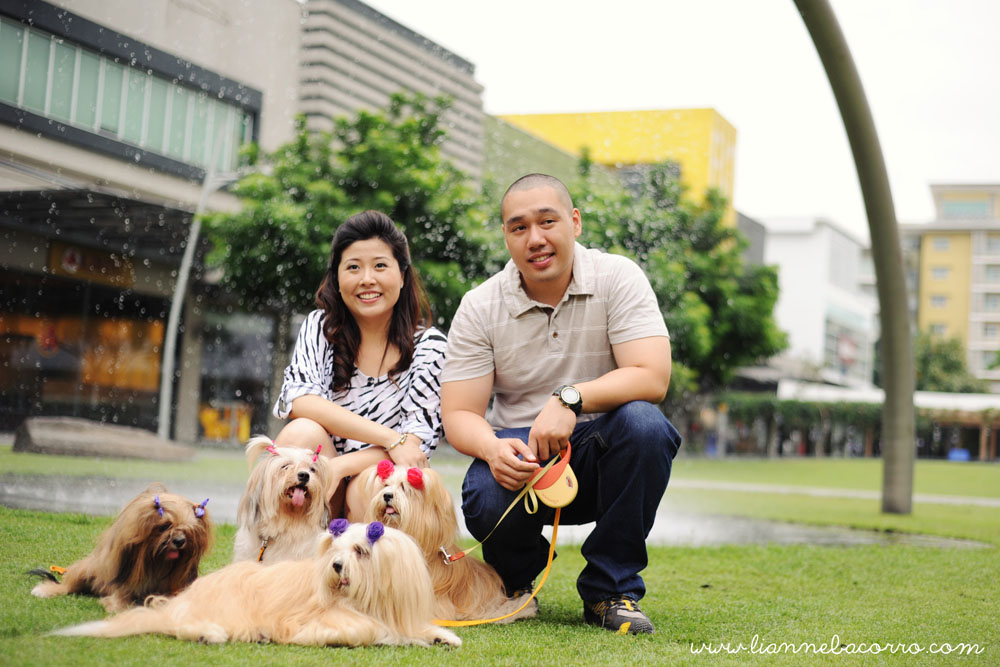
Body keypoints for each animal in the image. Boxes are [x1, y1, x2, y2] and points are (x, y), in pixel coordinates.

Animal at [30, 483, 212, 612]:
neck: (155, 561)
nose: (180, 541)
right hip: (87, 570)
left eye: (189, 531)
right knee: (68, 585)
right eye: (165, 526)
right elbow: (121, 598)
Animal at [54, 520, 461, 648]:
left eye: (361, 550)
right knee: (180, 625)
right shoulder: (314, 619)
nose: (335, 566)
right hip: (226, 609)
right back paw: (211, 633)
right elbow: (365, 630)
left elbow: (414, 629)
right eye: (335, 548)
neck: (365, 600)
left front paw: (443, 636)